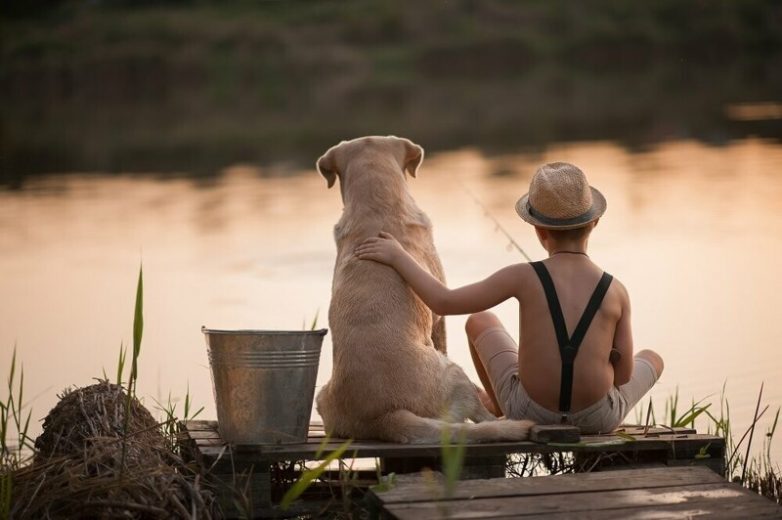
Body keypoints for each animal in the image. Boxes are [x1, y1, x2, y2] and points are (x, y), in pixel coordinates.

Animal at [316, 137, 536, 442]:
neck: (376, 208)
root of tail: (383, 417)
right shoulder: (439, 316)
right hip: (454, 372)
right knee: (482, 418)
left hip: (321, 397)